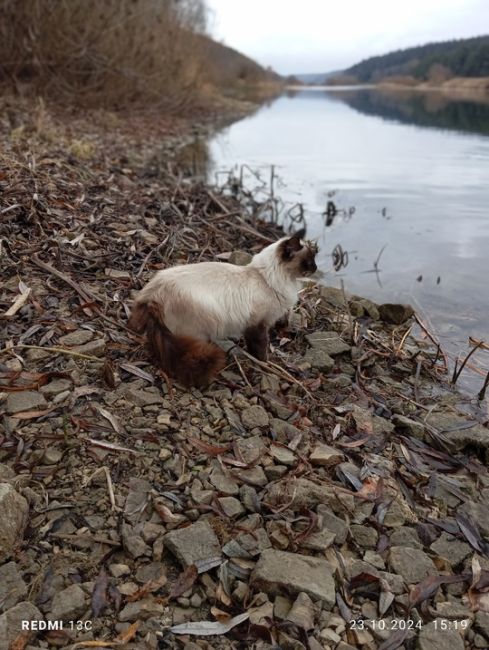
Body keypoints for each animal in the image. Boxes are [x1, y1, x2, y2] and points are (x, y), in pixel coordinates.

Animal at [127, 229, 316, 384]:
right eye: (308, 261)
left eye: (313, 259)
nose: (315, 268)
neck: (265, 278)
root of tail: (153, 295)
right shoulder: (259, 324)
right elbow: (261, 348)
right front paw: (265, 364)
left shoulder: (254, 325)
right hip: (203, 324)